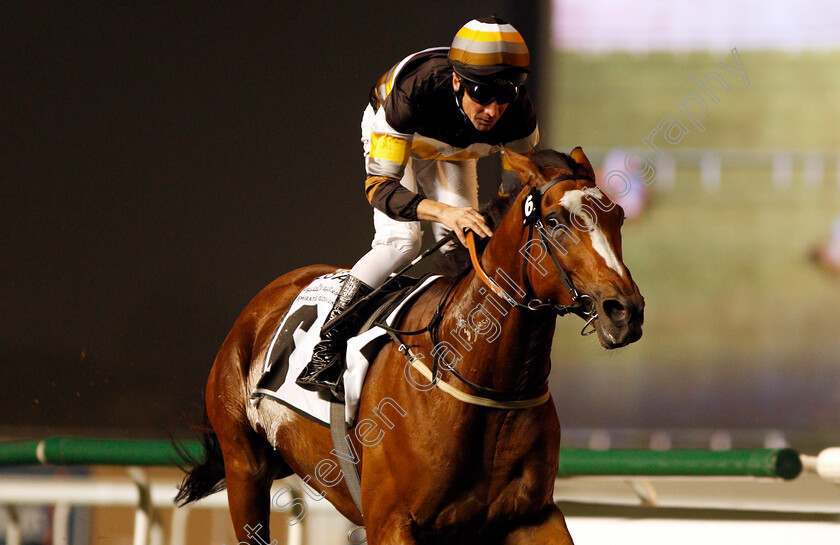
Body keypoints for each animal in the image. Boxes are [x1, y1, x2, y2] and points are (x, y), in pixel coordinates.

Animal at [177, 147, 648, 540]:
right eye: (554, 221)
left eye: (618, 217)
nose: (624, 311)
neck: (482, 376)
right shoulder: (392, 521)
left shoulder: (532, 517)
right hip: (245, 467)